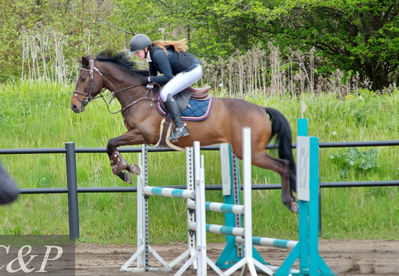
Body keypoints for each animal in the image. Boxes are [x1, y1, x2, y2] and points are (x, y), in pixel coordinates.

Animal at [70, 50, 298, 212]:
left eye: (83, 79)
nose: (74, 106)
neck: (138, 96)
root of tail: (261, 109)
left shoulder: (143, 135)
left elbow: (111, 143)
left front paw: (123, 170)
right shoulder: (137, 135)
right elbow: (112, 144)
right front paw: (126, 168)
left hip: (251, 152)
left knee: (284, 166)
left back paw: (290, 202)